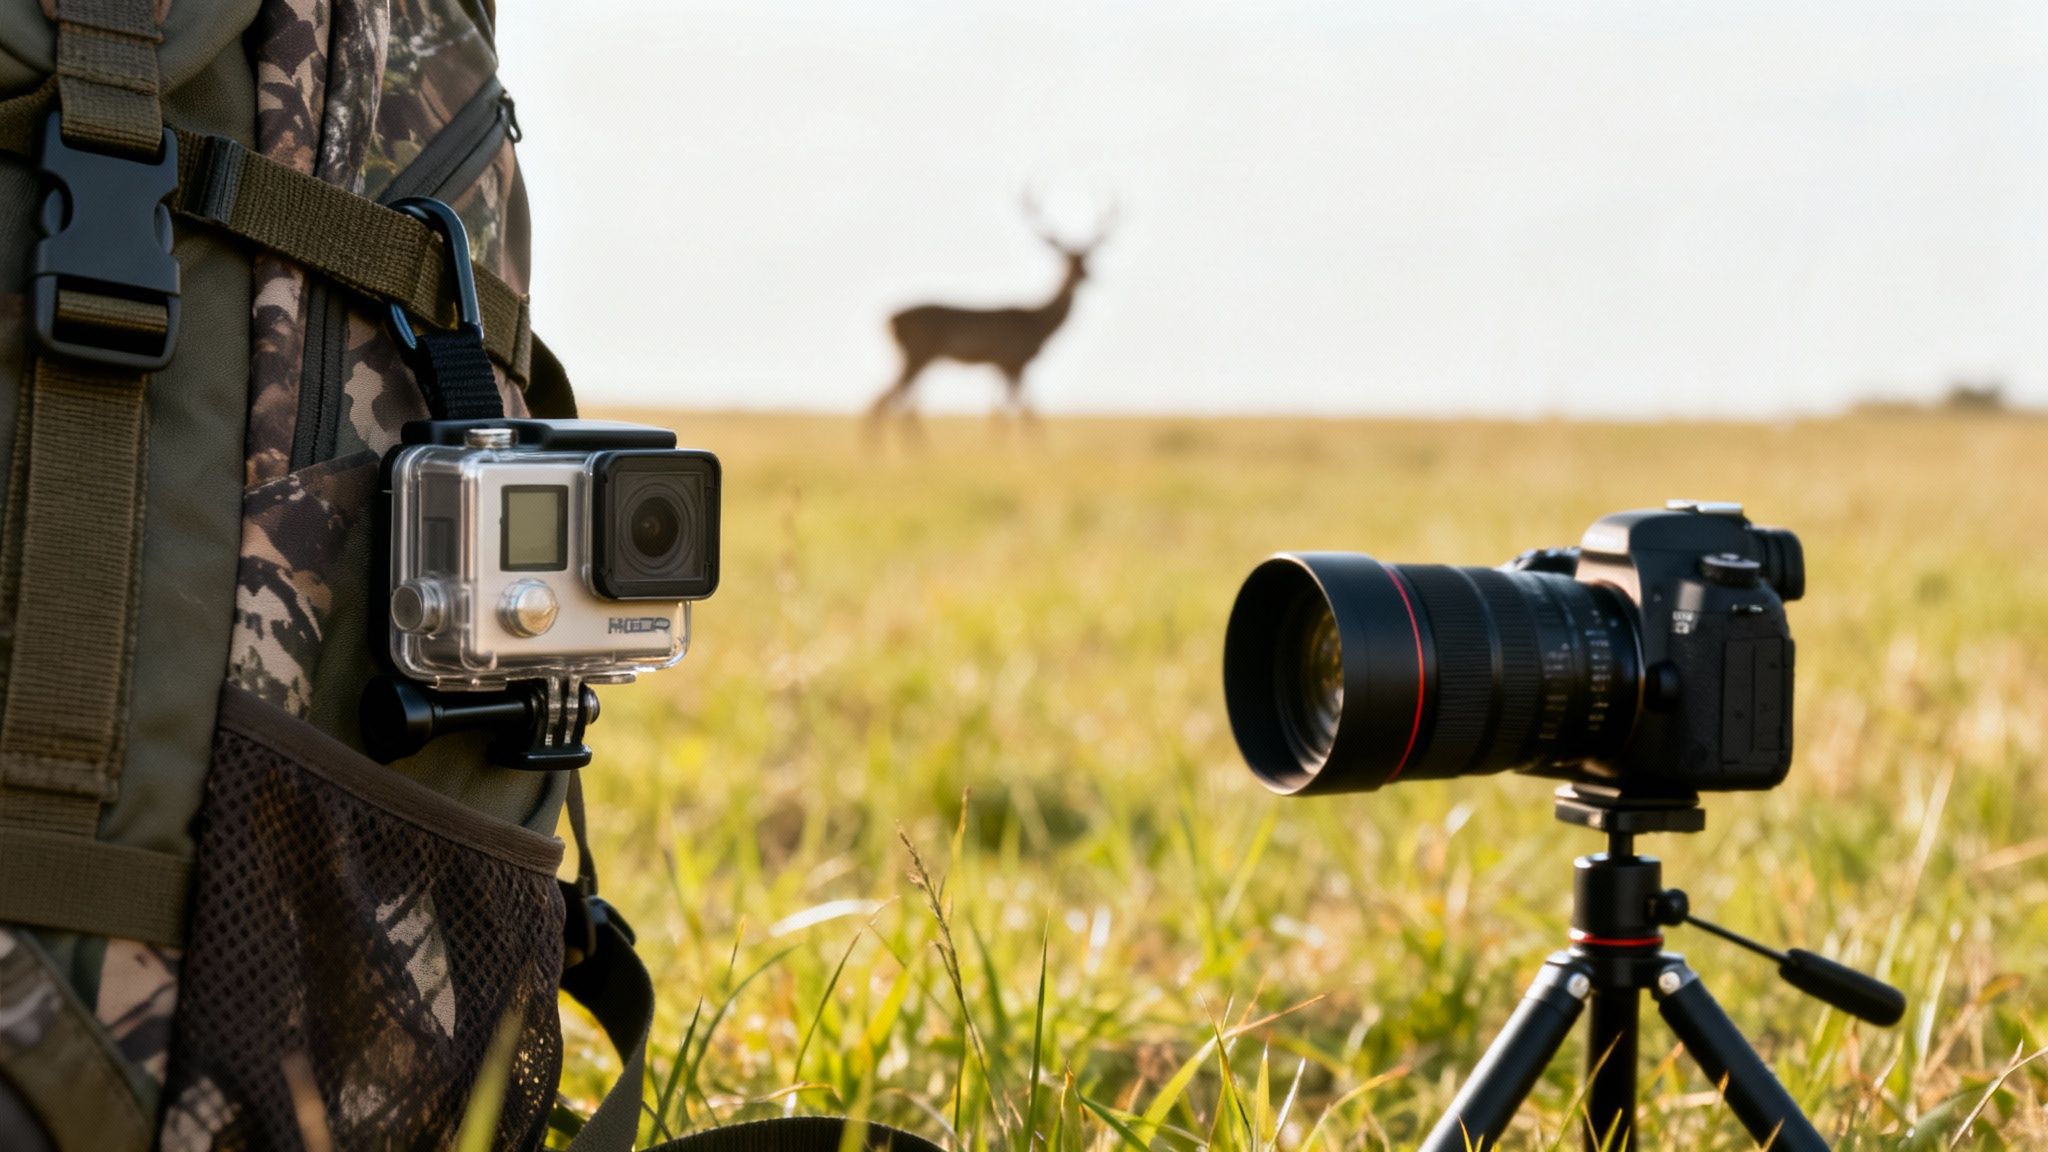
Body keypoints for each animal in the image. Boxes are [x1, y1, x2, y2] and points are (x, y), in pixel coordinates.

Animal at [866, 192, 1115, 434]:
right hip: (916, 355)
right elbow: (1022, 414)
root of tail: (889, 320)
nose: (1088, 275)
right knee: (884, 403)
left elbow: (1003, 414)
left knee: (888, 403)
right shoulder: (1012, 361)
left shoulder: (1003, 366)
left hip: (916, 359)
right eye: (1068, 259)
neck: (1039, 323)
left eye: (1087, 257)